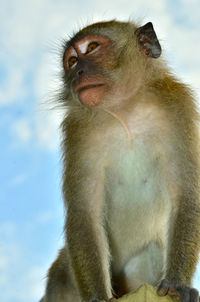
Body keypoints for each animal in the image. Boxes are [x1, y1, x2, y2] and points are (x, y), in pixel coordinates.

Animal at [40, 19, 200, 302]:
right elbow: (84, 213)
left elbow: (186, 196)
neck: (125, 112)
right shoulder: (78, 131)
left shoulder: (176, 105)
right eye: (71, 61)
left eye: (92, 47)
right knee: (60, 274)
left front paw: (177, 284)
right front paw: (97, 298)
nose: (78, 71)